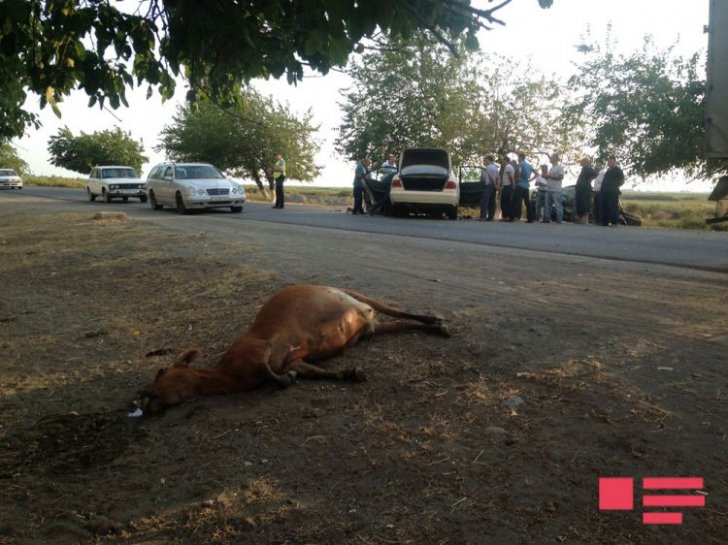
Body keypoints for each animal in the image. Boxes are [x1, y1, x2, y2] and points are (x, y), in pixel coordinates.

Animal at [134, 284, 446, 412]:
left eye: (162, 373)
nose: (143, 396)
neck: (227, 374)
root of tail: (366, 314)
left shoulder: (260, 346)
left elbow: (273, 372)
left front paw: (286, 379)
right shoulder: (290, 359)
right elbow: (312, 371)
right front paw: (351, 373)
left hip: (357, 296)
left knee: (396, 310)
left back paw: (436, 320)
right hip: (367, 329)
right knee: (395, 323)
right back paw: (434, 327)